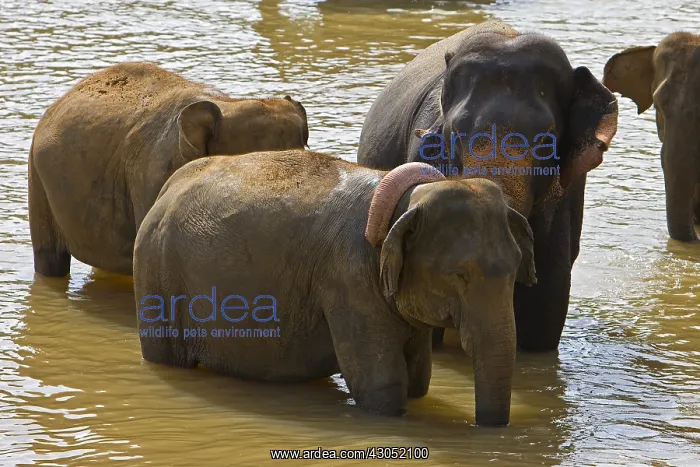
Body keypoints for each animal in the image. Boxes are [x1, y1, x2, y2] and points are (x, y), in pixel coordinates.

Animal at [133, 150, 536, 426]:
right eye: (459, 275)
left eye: (516, 268)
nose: (485, 429)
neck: (406, 200)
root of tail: (166, 189)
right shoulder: (348, 280)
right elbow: (382, 386)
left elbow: (419, 379)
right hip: (156, 277)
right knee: (166, 355)